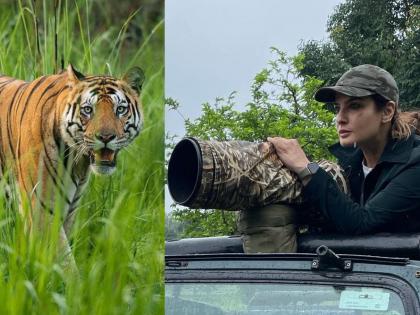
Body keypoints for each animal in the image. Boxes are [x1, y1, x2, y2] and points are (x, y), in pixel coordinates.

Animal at [0, 66, 144, 266]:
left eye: (120, 109)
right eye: (88, 110)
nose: (105, 137)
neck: (78, 161)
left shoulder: (69, 210)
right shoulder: (40, 210)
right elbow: (65, 262)